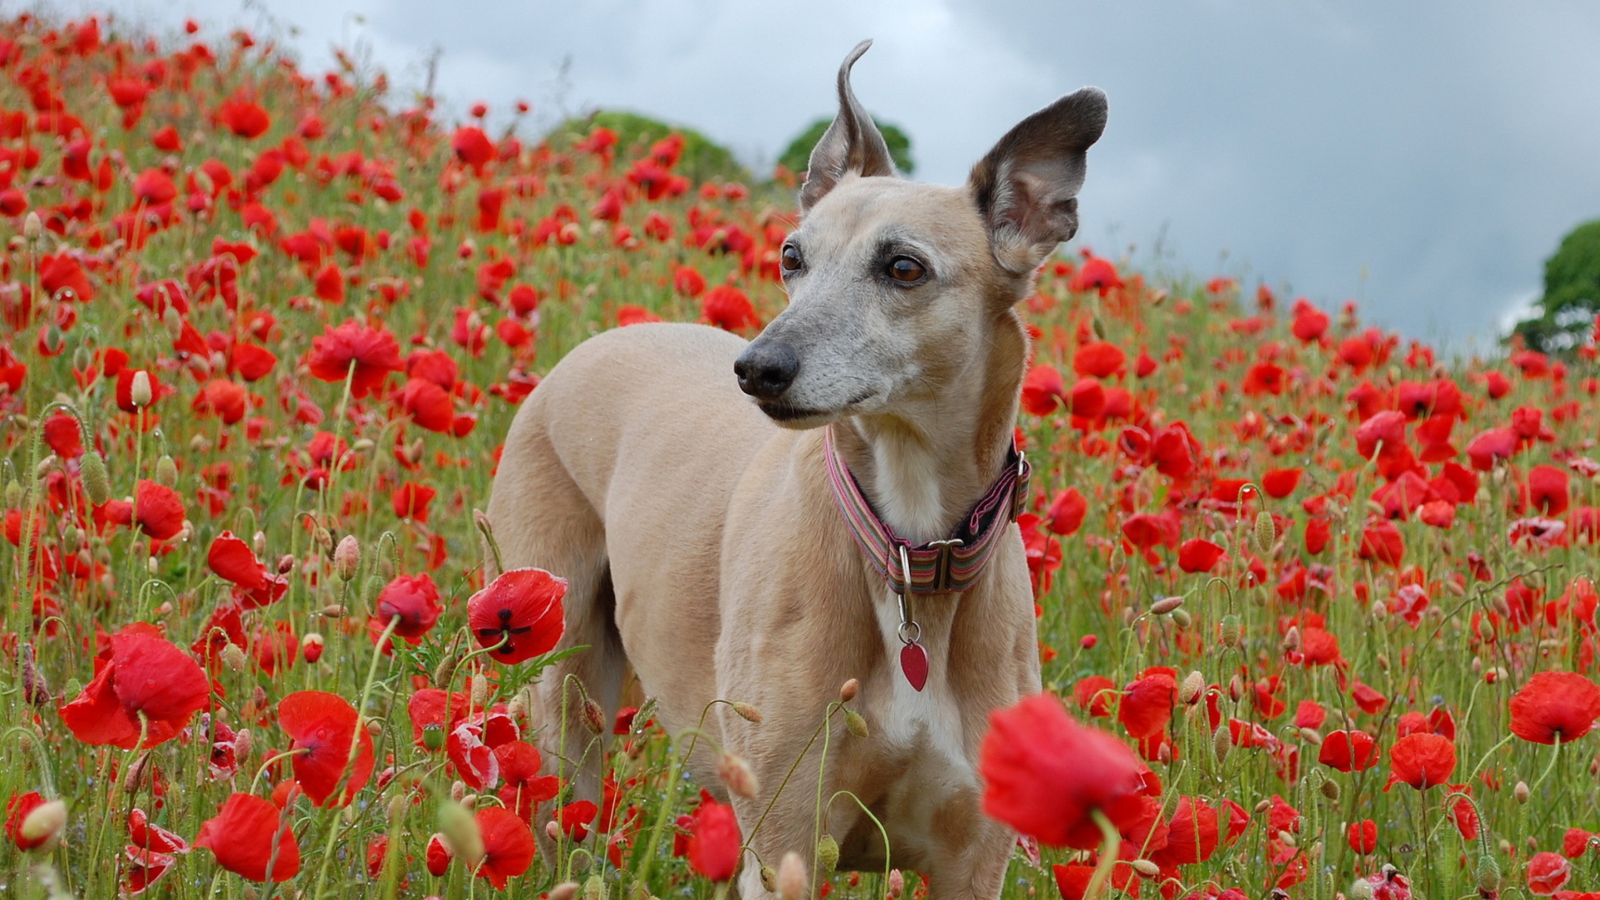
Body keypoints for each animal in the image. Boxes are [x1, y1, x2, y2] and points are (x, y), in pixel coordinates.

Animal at [486, 38, 1107, 890]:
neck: (910, 554)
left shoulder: (973, 862)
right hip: (563, 688)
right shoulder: (786, 837)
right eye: (792, 256)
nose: (757, 369)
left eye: (904, 267)